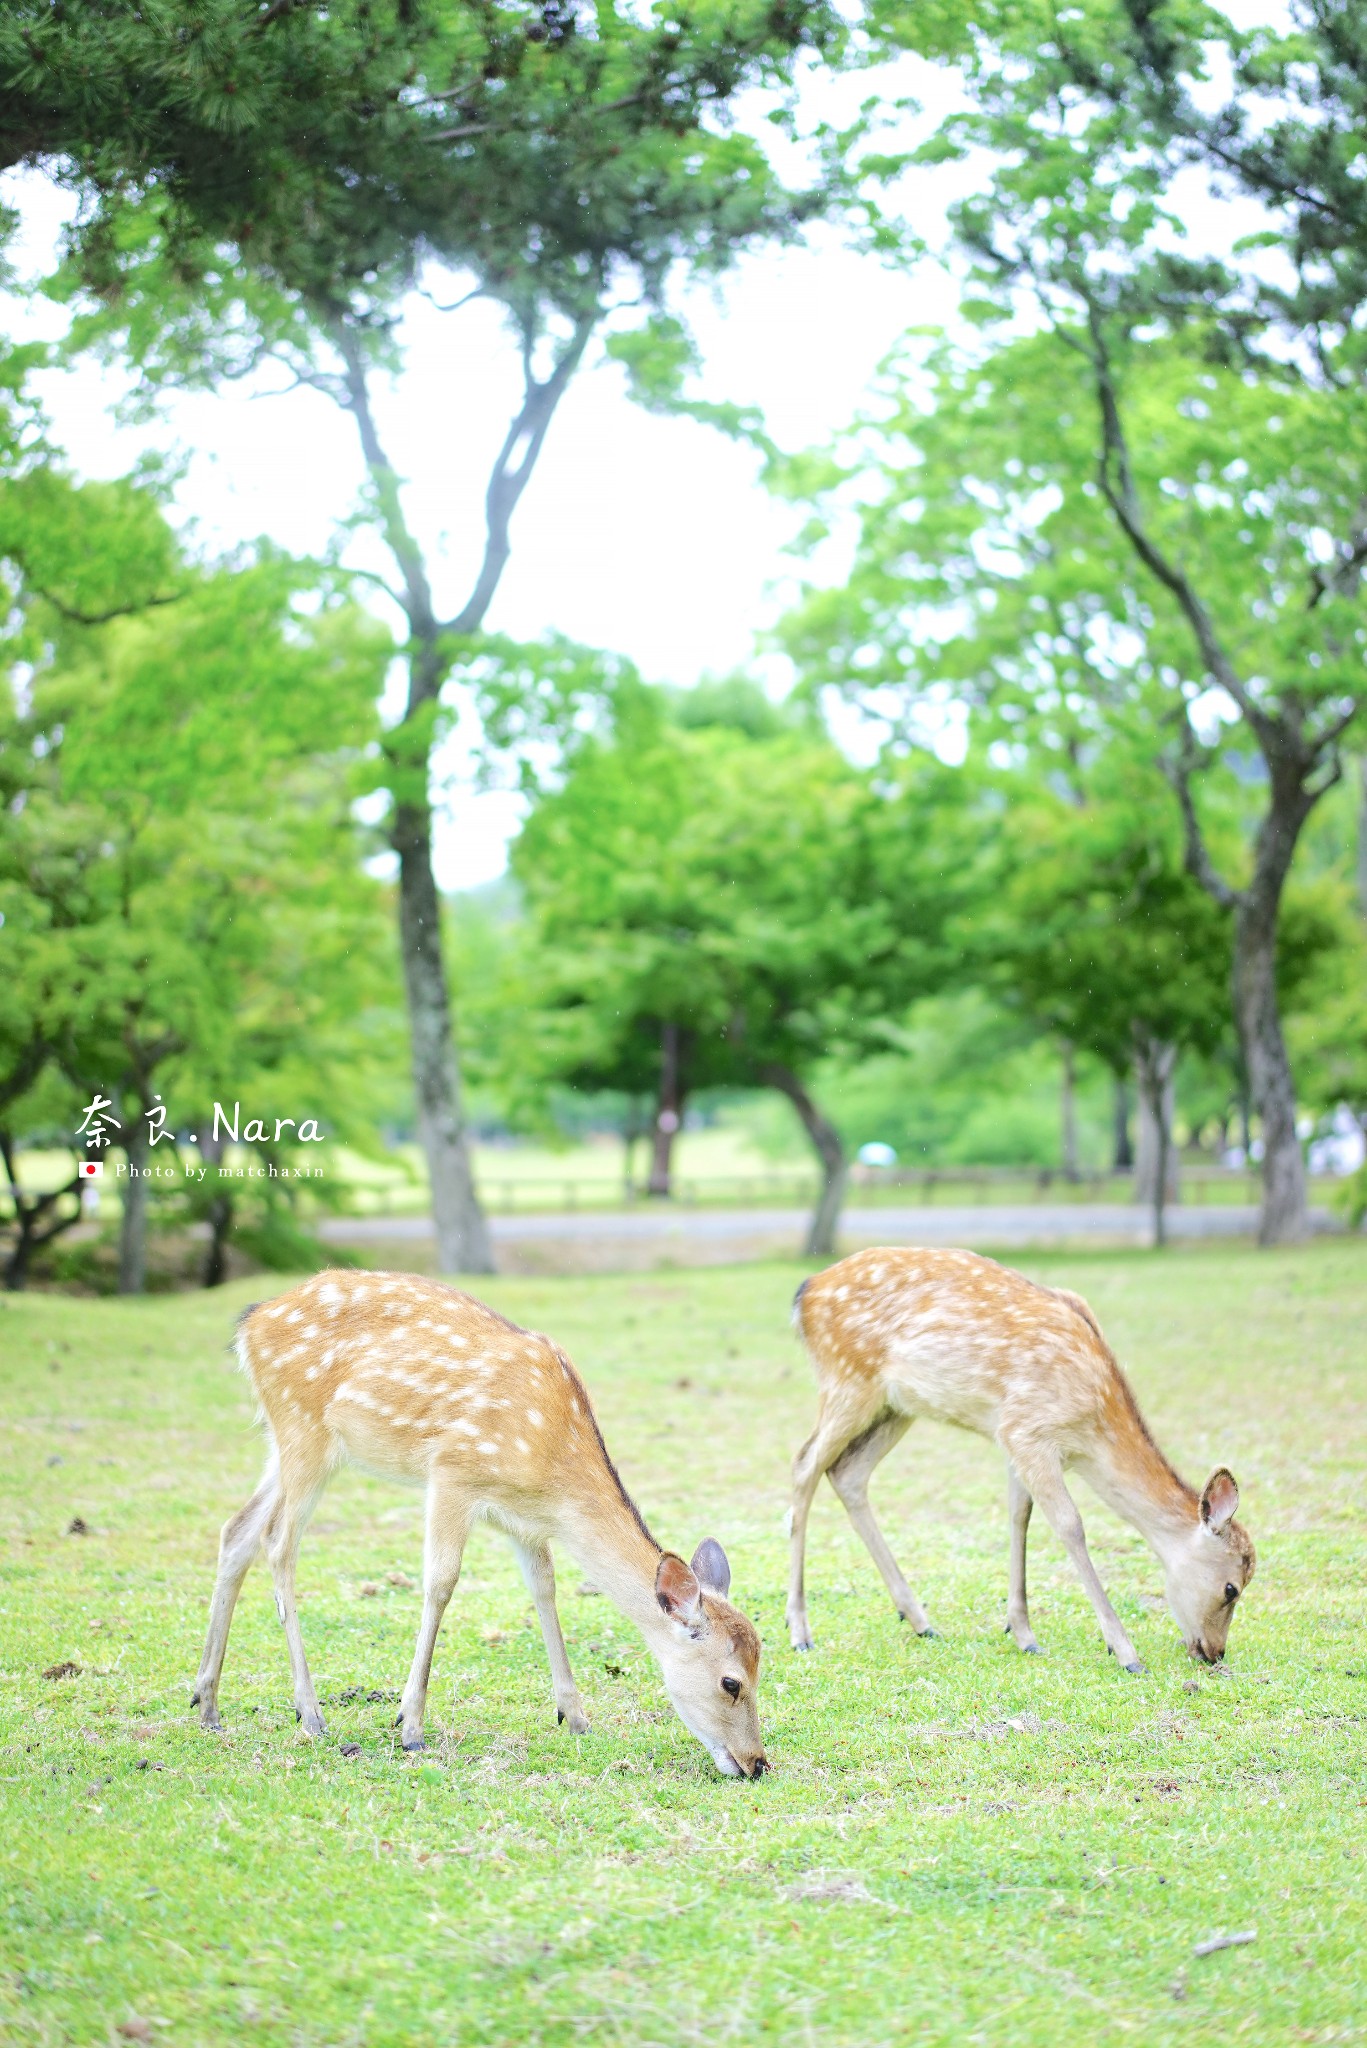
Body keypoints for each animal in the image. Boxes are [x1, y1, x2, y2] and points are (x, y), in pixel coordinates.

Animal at [192, 1261, 770, 1777]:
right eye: (732, 1682)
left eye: (763, 1665)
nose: (756, 1763)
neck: (553, 1469)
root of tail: (250, 1324)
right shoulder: (452, 1473)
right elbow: (441, 1582)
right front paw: (410, 1725)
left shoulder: (523, 1520)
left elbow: (544, 1589)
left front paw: (575, 1715)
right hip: (303, 1428)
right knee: (277, 1542)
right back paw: (309, 1712)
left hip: (287, 1443)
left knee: (237, 1530)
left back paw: (206, 1703)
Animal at [786, 1236, 1254, 1671]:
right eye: (1232, 1587)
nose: (1215, 1653)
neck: (1090, 1428)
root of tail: (805, 1293)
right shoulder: (1030, 1431)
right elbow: (1069, 1524)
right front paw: (1125, 1651)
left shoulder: (1012, 1436)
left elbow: (1019, 1516)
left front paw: (1023, 1632)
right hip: (847, 1379)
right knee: (804, 1465)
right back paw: (799, 1630)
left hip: (896, 1406)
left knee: (847, 1473)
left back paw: (919, 1619)